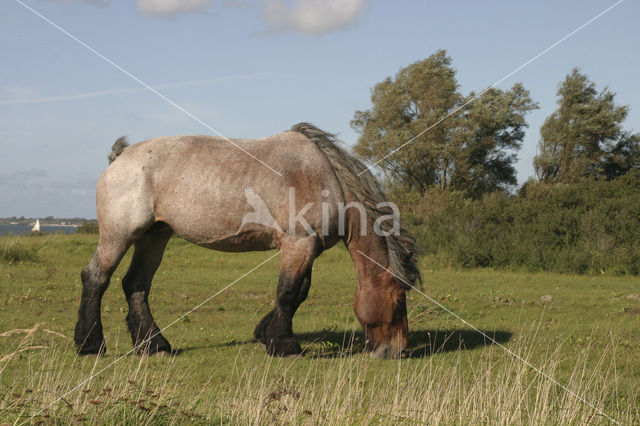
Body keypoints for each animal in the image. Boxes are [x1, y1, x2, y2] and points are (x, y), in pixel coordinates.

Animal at [74, 123, 420, 360]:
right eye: (398, 301)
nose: (397, 350)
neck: (326, 177)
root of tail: (119, 157)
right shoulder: (299, 244)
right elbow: (288, 293)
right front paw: (284, 345)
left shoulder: (307, 248)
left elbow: (298, 294)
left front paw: (266, 335)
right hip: (119, 236)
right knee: (96, 278)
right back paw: (90, 344)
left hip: (154, 237)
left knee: (136, 285)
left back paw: (153, 345)